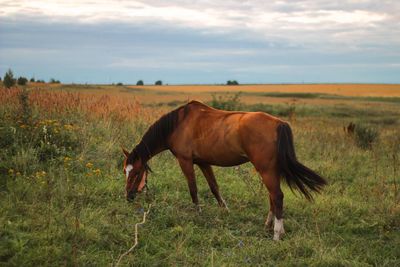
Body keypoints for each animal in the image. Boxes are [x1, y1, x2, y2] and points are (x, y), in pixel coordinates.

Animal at [122, 100, 328, 241]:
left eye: (135, 172)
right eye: (125, 171)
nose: (128, 197)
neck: (178, 124)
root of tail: (279, 123)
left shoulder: (185, 161)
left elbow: (193, 189)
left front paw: (198, 214)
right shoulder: (203, 163)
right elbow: (214, 187)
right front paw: (225, 212)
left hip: (266, 169)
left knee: (277, 196)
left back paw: (277, 234)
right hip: (270, 170)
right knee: (272, 196)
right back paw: (268, 226)